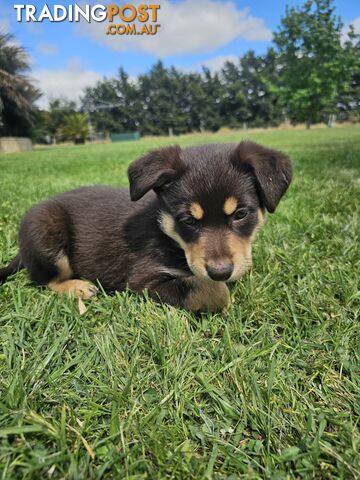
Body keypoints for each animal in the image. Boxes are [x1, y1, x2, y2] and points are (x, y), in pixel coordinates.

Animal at [0, 140, 292, 312]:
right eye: (188, 220)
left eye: (241, 214)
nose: (220, 271)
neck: (167, 235)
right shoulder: (144, 279)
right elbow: (210, 290)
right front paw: (220, 292)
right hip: (46, 233)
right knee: (43, 280)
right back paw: (77, 287)